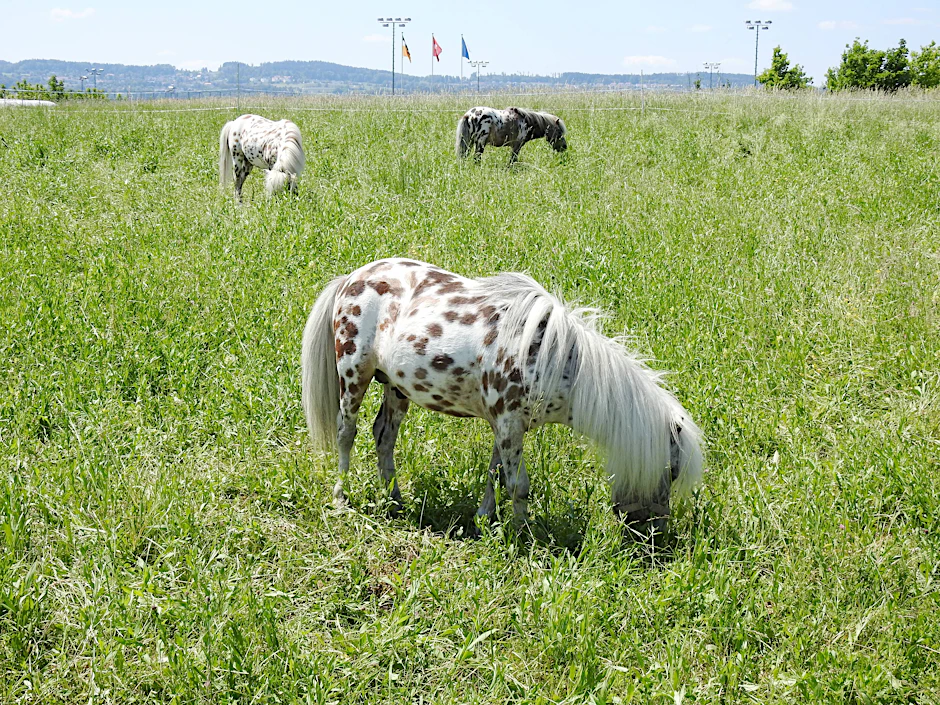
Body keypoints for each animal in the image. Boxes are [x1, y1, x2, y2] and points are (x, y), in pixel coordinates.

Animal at [301, 259, 704, 537]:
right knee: (346, 433)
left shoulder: (508, 425)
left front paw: (485, 520)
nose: (654, 534)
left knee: (384, 436)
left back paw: (395, 501)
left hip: (396, 387)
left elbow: (495, 473)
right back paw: (340, 497)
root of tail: (351, 278)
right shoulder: (509, 425)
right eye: (671, 471)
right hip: (354, 375)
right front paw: (524, 535)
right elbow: (518, 485)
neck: (555, 358)